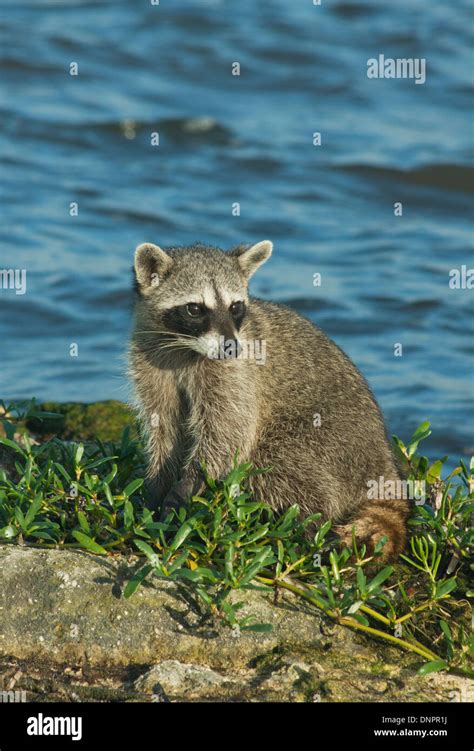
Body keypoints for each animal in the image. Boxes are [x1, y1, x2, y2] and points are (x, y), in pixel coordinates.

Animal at [129, 239, 408, 560]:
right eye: (194, 309)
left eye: (236, 307)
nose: (231, 346)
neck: (182, 346)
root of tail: (384, 463)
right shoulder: (150, 360)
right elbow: (163, 426)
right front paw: (157, 483)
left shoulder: (237, 374)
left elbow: (229, 431)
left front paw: (188, 483)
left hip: (332, 443)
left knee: (273, 462)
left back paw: (304, 527)